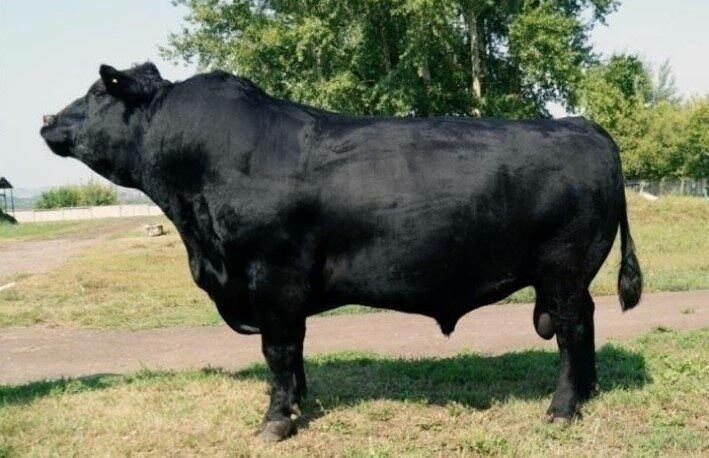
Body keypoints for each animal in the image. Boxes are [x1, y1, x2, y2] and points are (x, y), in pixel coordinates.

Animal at [41, 62, 642, 442]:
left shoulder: (271, 276)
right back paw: (587, 391)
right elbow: (295, 351)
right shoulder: (276, 289)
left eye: (98, 93)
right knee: (585, 321)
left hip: (563, 268)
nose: (47, 120)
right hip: (567, 276)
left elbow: (279, 351)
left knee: (570, 330)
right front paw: (298, 405)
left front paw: (276, 421)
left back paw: (561, 409)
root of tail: (583, 126)